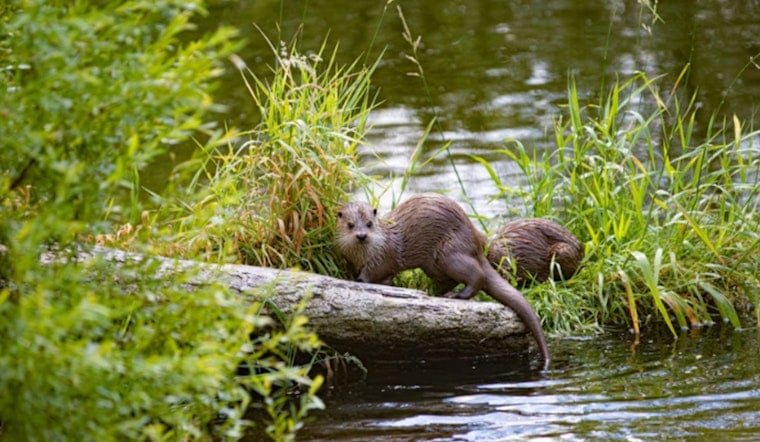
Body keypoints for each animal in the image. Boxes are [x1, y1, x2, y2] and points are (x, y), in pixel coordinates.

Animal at [335, 194, 550, 368]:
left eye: (369, 223)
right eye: (350, 224)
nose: (362, 236)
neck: (362, 254)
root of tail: (475, 241)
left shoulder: (383, 257)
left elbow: (375, 272)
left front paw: (358, 279)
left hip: (449, 253)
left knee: (477, 275)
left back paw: (456, 295)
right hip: (434, 266)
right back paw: (436, 293)